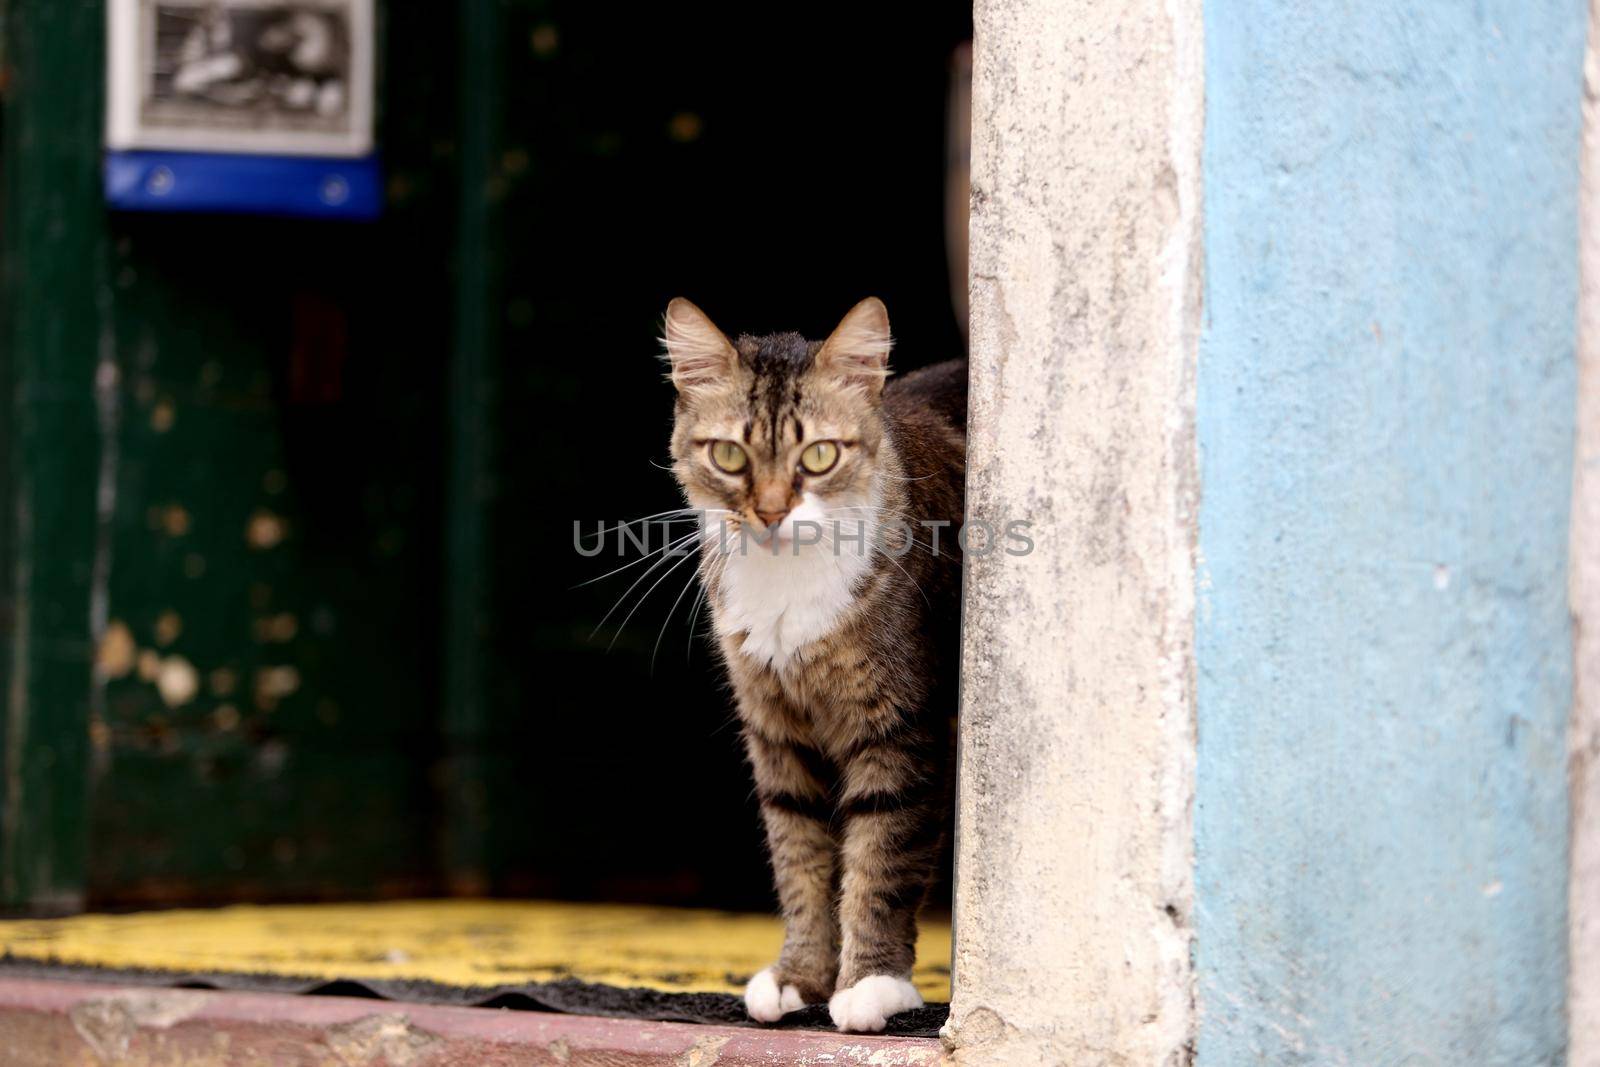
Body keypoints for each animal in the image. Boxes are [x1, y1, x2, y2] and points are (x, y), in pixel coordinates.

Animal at [659, 295, 960, 1030]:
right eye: (730, 454)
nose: (769, 512)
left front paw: (871, 983)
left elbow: (881, 859)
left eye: (820, 455)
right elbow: (800, 859)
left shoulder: (902, 728)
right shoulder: (777, 731)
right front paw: (800, 976)